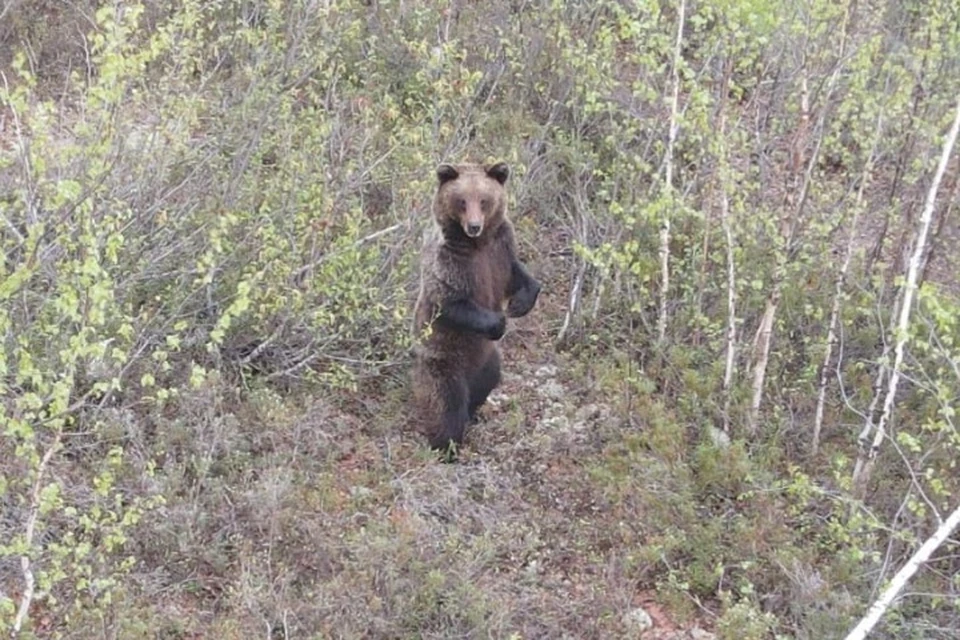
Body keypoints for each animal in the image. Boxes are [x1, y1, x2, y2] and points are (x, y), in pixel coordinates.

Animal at [412, 164, 544, 456]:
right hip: (443, 361)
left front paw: (520, 303)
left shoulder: (500, 250)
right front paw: (498, 323)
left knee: (487, 383)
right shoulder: (449, 261)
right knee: (447, 404)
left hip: (488, 362)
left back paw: (474, 412)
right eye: (462, 201)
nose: (474, 226)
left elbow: (518, 274)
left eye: (483, 200)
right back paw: (446, 445)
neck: (477, 244)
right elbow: (451, 302)